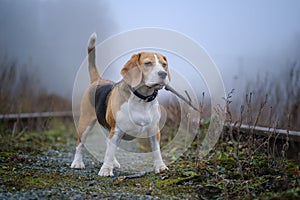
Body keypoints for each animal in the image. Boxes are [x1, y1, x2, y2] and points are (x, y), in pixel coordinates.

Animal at [69, 33, 169, 177]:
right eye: (148, 63)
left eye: (164, 65)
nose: (163, 74)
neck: (141, 99)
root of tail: (98, 80)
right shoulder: (117, 130)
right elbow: (109, 151)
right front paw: (106, 169)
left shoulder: (153, 130)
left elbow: (156, 150)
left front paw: (160, 167)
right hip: (85, 123)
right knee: (80, 143)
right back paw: (77, 163)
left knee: (108, 143)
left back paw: (114, 162)